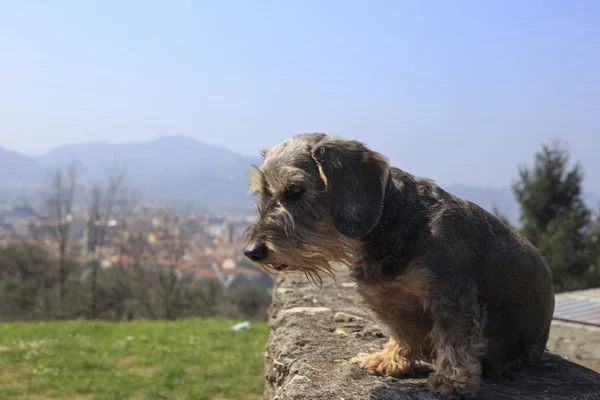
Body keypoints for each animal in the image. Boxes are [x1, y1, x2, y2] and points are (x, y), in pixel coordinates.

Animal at [241, 134, 556, 396]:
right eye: (262, 193)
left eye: (294, 190)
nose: (252, 251)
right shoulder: (390, 301)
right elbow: (403, 333)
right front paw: (390, 358)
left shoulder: (452, 296)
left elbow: (455, 340)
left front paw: (452, 381)